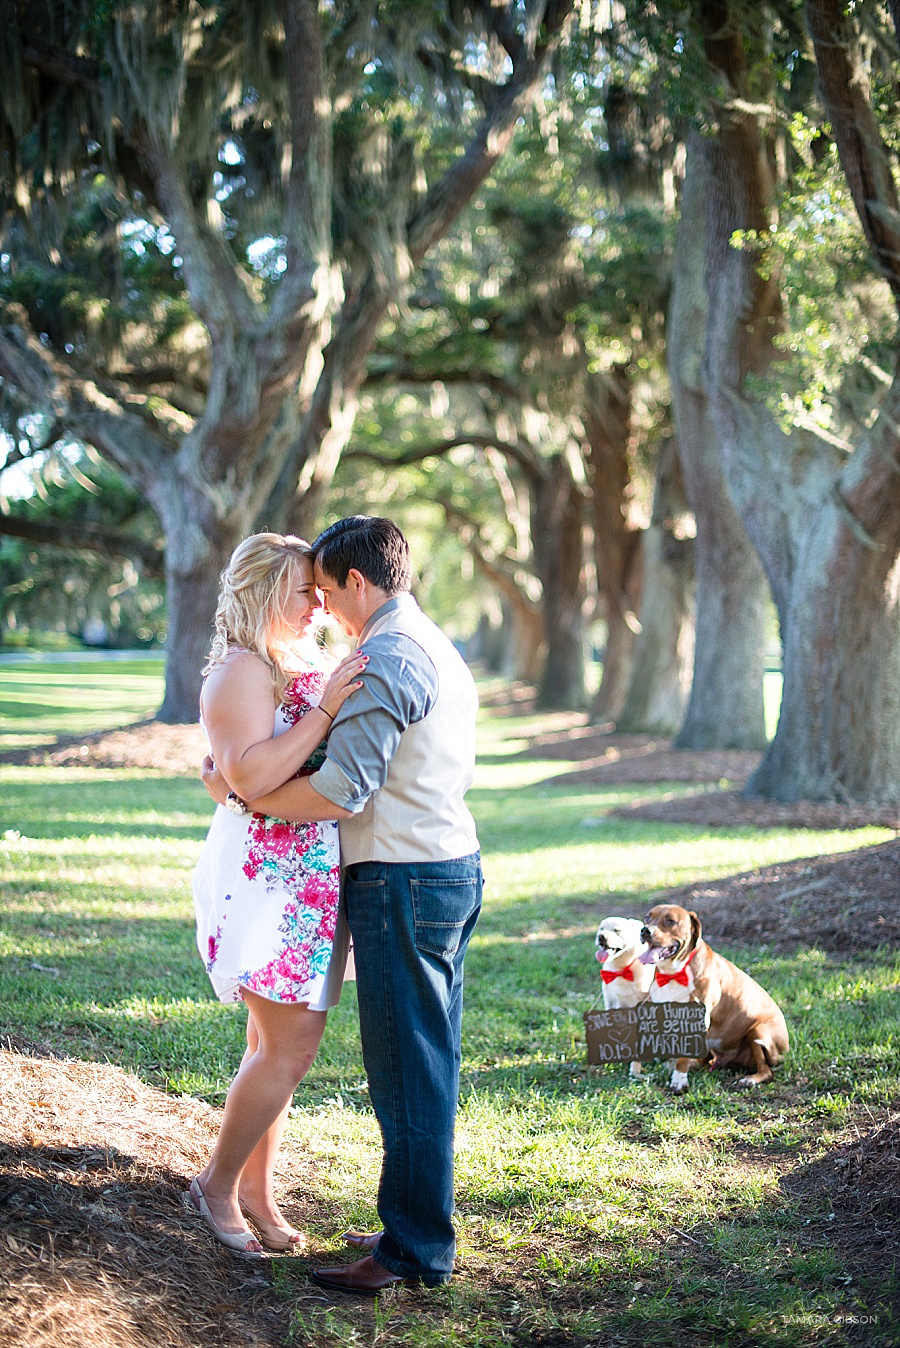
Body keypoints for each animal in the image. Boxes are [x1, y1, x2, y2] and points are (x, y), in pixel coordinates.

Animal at [638, 900, 786, 1089]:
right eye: (647, 917)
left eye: (671, 921)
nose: (645, 930)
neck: (674, 973)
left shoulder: (696, 1019)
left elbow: (683, 1056)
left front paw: (679, 1079)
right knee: (706, 1061)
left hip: (758, 1030)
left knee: (767, 1070)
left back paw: (750, 1079)